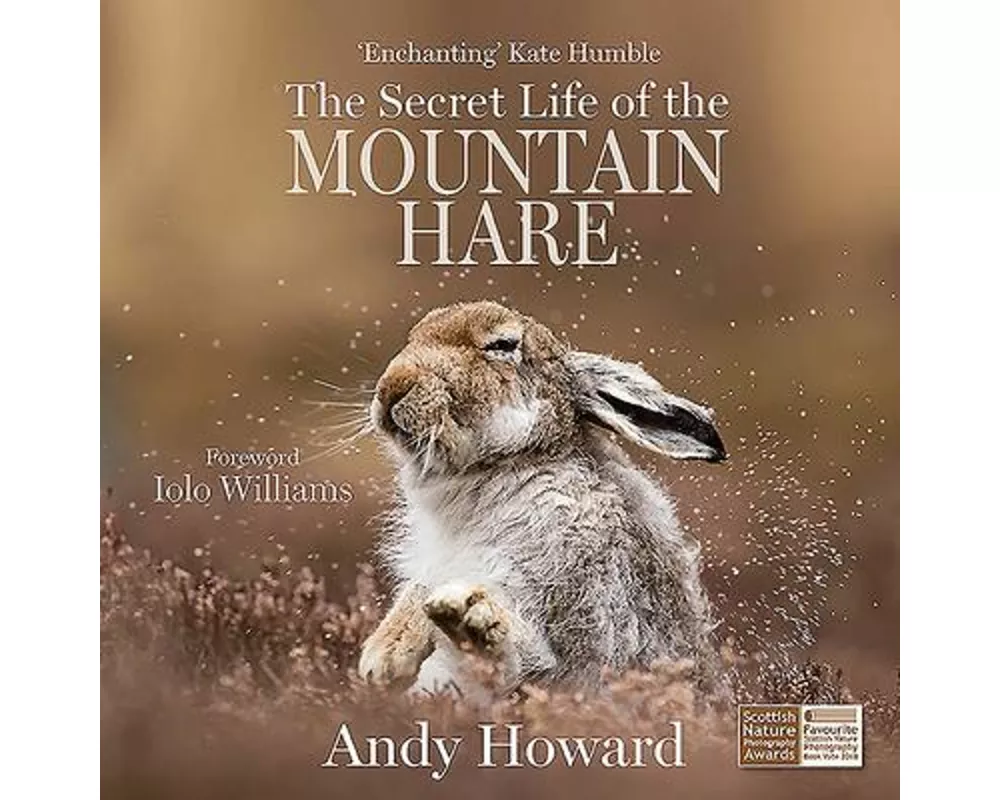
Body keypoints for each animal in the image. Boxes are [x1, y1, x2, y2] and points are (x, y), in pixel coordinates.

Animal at [357, 300, 727, 700]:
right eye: (416, 333)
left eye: (503, 344)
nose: (392, 388)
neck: (515, 465)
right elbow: (422, 588)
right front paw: (385, 655)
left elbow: (529, 661)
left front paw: (472, 620)